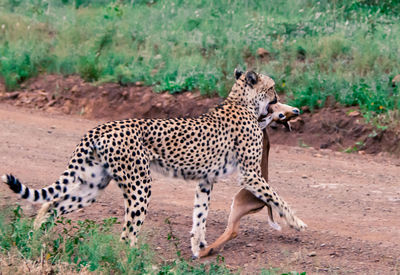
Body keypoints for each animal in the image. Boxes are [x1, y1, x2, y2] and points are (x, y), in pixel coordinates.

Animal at [1, 69, 306, 258]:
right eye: (272, 88)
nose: (279, 99)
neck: (241, 102)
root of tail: (99, 128)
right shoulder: (250, 175)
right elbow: (277, 197)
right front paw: (297, 222)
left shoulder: (205, 180)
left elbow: (200, 214)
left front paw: (197, 245)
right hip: (139, 186)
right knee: (126, 235)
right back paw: (134, 260)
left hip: (92, 185)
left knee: (52, 204)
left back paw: (35, 238)